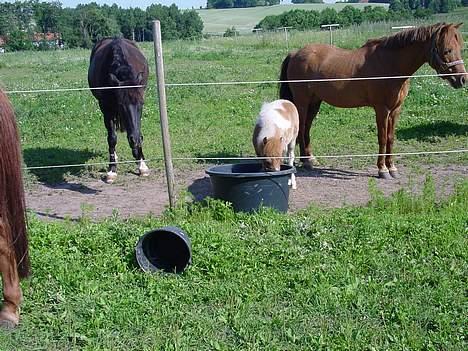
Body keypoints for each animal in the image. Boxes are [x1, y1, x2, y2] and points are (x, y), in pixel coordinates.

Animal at [88, 37, 149, 184]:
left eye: (141, 104)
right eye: (121, 105)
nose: (135, 140)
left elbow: (138, 130)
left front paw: (141, 164)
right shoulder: (106, 108)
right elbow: (112, 138)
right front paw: (112, 170)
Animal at [280, 22, 466, 179]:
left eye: (460, 48)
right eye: (448, 50)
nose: (462, 79)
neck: (390, 65)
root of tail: (295, 53)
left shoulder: (395, 110)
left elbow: (391, 138)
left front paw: (392, 168)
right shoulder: (381, 109)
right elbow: (382, 138)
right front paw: (382, 170)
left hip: (314, 103)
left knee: (306, 128)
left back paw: (309, 159)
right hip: (302, 102)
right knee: (301, 128)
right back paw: (306, 162)